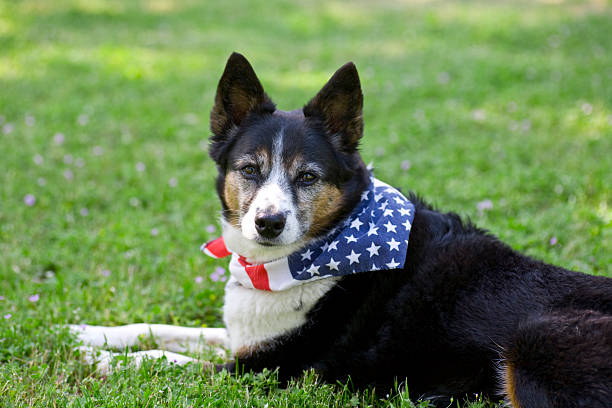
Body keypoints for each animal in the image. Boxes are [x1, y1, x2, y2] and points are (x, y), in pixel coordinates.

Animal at [73, 54, 612, 408]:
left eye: (308, 177)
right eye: (249, 169)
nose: (268, 223)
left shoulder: (270, 370)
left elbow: (169, 359)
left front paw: (104, 363)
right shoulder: (245, 339)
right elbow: (166, 330)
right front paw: (88, 333)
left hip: (534, 342)